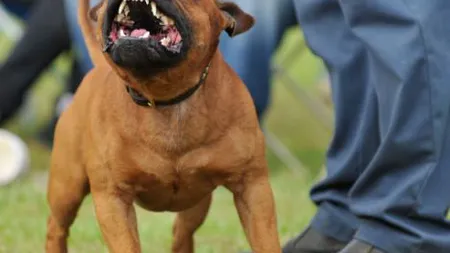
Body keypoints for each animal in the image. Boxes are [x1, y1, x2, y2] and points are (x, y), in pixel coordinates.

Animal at [44, 0, 282, 253]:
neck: (167, 99)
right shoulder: (112, 199)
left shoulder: (252, 188)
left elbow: (266, 243)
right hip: (66, 189)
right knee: (55, 228)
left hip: (196, 203)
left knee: (182, 234)